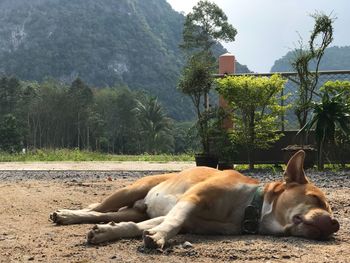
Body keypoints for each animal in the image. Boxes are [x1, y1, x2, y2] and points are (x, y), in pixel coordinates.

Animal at [50, 151, 340, 250]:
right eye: (315, 198)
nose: (336, 224)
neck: (250, 208)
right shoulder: (192, 199)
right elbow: (174, 221)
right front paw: (159, 237)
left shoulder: (186, 219)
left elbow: (142, 226)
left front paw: (107, 233)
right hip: (131, 189)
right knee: (97, 207)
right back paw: (67, 213)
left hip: (133, 209)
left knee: (108, 215)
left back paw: (90, 222)